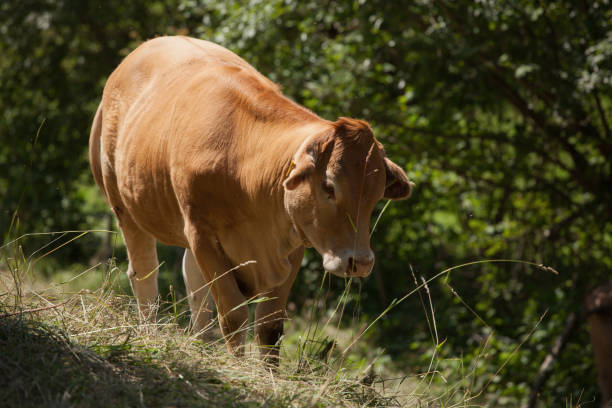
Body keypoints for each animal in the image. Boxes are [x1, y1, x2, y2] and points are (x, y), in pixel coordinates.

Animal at [88, 36, 412, 364]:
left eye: (375, 195)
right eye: (329, 186)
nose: (360, 261)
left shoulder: (293, 242)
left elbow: (269, 326)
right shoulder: (203, 236)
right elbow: (233, 316)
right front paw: (238, 366)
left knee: (195, 287)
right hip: (124, 206)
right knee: (144, 274)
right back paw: (149, 330)